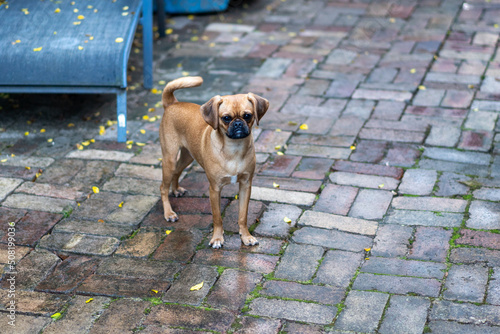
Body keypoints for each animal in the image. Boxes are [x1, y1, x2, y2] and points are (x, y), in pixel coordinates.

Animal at [160, 76, 270, 248]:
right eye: (226, 118)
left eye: (247, 116)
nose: (238, 123)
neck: (234, 149)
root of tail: (172, 103)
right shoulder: (215, 189)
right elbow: (217, 217)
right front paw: (217, 238)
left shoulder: (245, 185)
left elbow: (243, 216)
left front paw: (246, 236)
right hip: (169, 159)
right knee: (163, 188)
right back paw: (169, 213)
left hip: (188, 156)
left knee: (177, 171)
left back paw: (176, 189)